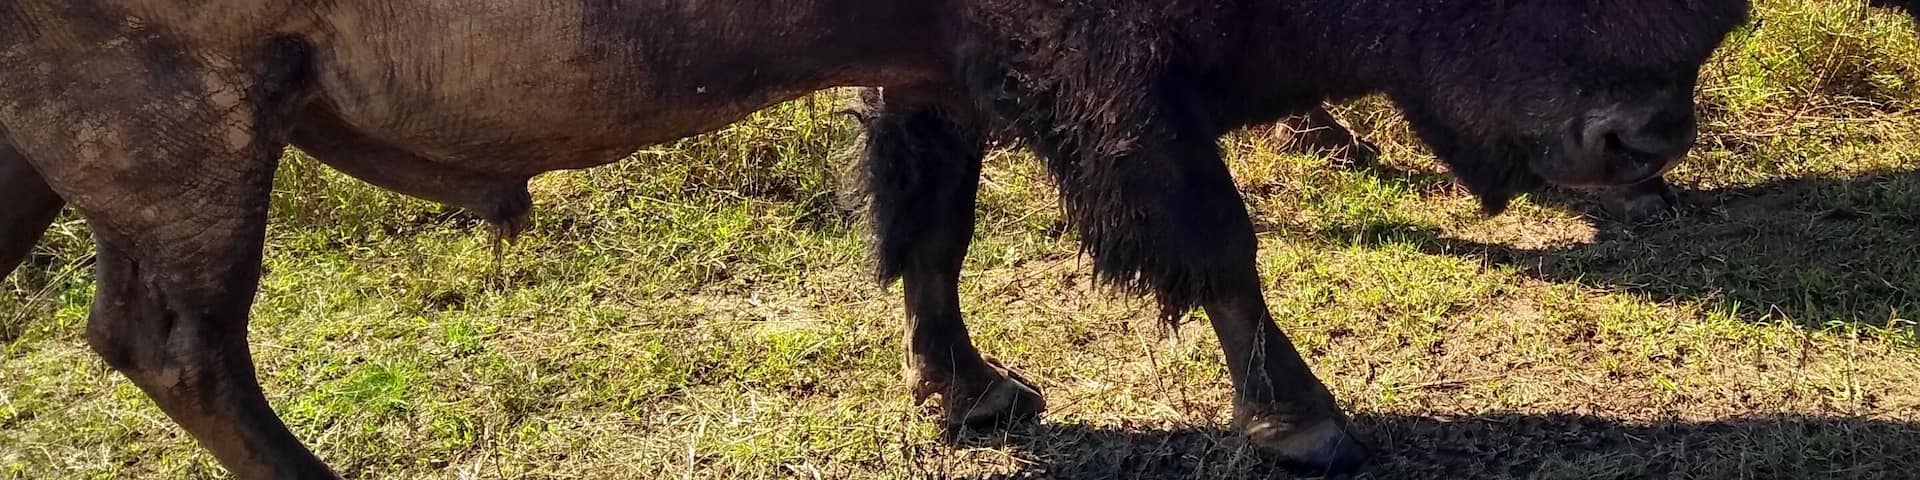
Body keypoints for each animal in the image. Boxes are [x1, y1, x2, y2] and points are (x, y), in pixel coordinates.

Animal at [0, 1, 1749, 478]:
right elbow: (1218, 246)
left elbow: (931, 241)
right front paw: (1310, 422)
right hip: (191, 138)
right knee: (178, 343)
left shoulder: (935, 75)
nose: (1653, 135)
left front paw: (975, 396)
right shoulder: (1099, 79)